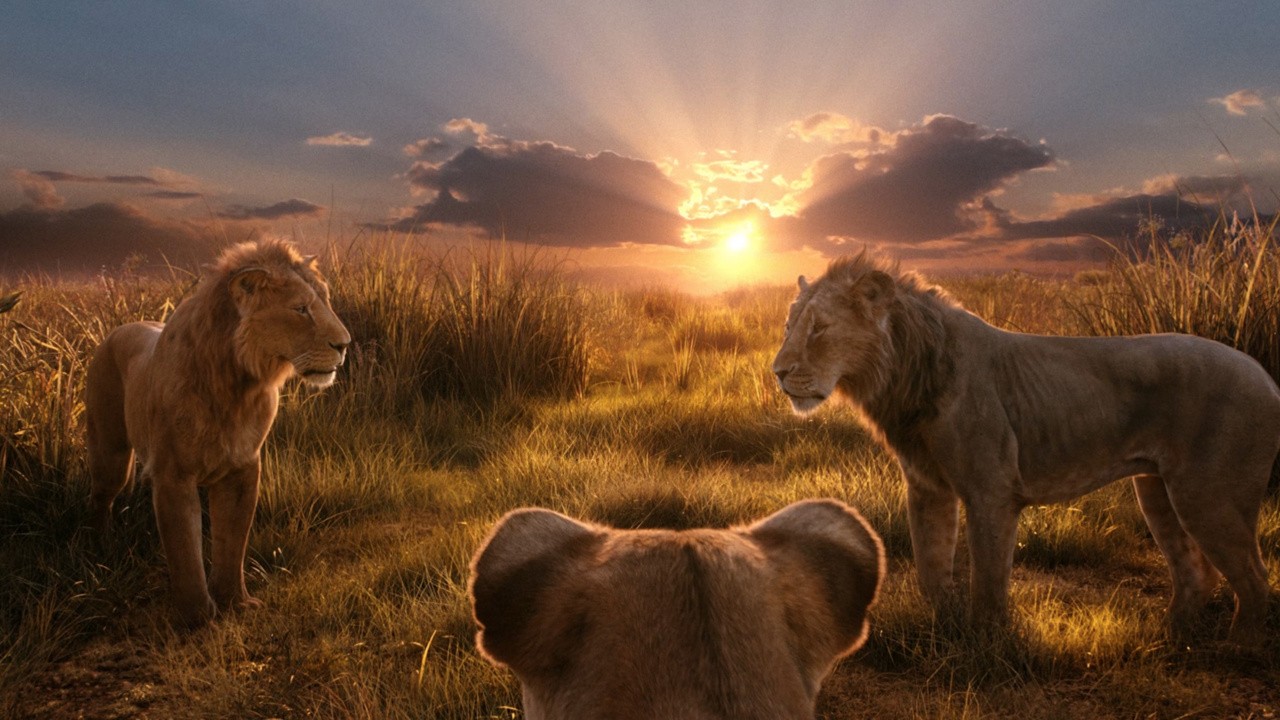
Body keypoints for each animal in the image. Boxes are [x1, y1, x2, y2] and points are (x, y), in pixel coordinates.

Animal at [85, 239, 350, 627]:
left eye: (326, 301)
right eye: (301, 309)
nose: (345, 345)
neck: (237, 385)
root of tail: (117, 330)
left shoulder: (242, 468)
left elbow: (231, 542)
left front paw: (235, 602)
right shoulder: (173, 475)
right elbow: (185, 549)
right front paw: (197, 616)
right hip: (111, 454)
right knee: (100, 498)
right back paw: (99, 552)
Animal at [772, 251, 1280, 643]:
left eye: (819, 328)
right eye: (788, 325)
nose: (777, 372)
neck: (903, 374)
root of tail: (1265, 375)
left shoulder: (991, 491)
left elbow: (988, 579)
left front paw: (985, 644)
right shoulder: (927, 488)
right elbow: (930, 567)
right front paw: (944, 629)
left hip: (1207, 496)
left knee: (1255, 581)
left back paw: (1237, 649)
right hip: (1155, 490)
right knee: (1198, 573)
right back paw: (1168, 638)